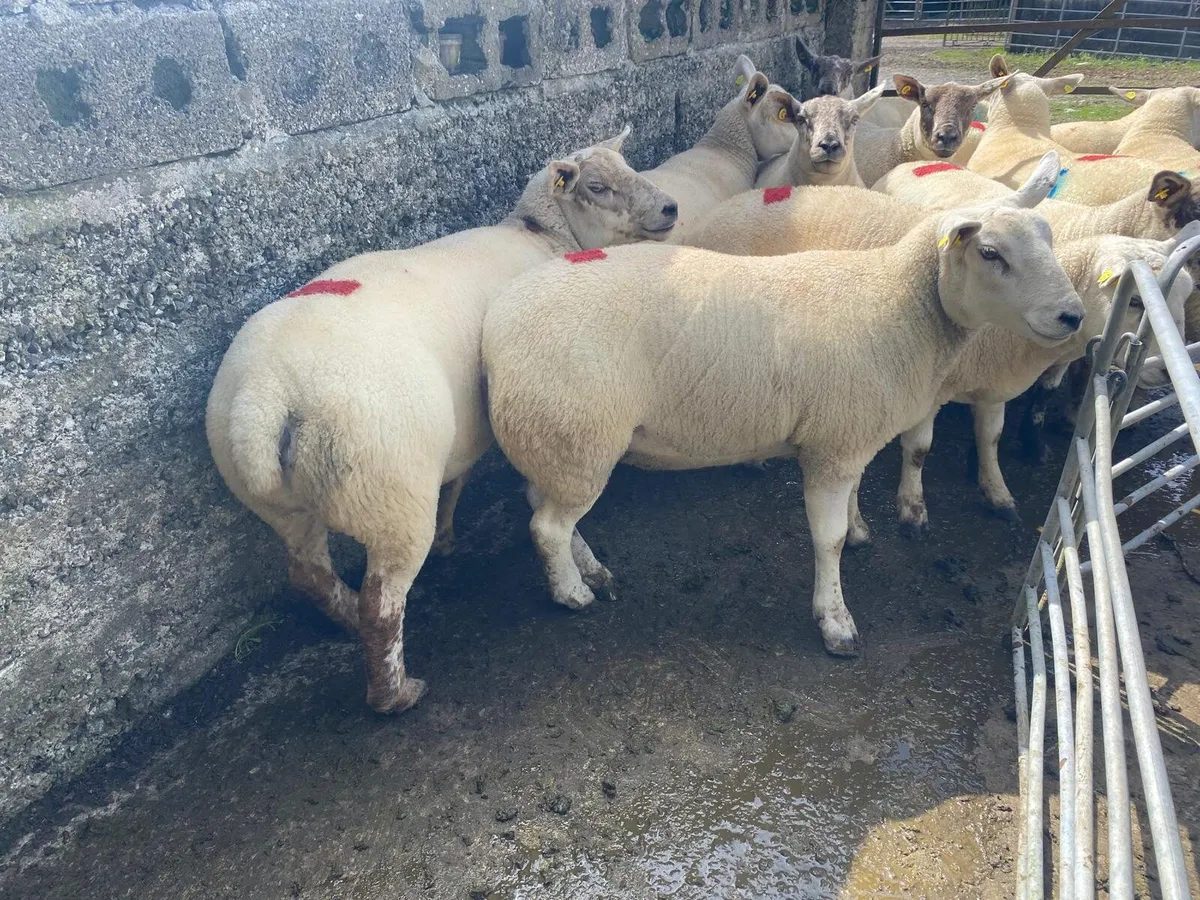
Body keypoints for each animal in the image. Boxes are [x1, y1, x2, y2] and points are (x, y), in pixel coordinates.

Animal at [204, 132, 678, 714]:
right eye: (597, 186)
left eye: (627, 165)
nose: (670, 208)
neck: (542, 237)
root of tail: (267, 395)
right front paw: (580, 568)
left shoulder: (467, 428)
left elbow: (461, 476)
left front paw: (452, 532)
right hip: (389, 491)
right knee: (382, 603)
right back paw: (395, 693)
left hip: (283, 502)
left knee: (308, 573)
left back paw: (345, 618)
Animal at [480, 156, 1082, 657]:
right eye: (989, 253)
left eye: (1048, 238)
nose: (1072, 315)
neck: (897, 304)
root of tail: (497, 325)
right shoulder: (835, 443)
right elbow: (827, 539)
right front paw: (836, 622)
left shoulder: (847, 431)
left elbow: (854, 500)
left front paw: (860, 530)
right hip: (578, 433)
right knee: (547, 527)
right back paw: (573, 593)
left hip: (554, 439)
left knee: (547, 509)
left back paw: (592, 571)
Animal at [891, 231, 1194, 534]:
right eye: (1134, 301)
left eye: (1185, 298)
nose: (1165, 370)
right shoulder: (926, 392)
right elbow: (919, 450)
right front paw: (913, 511)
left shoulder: (993, 382)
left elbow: (992, 437)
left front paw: (997, 493)